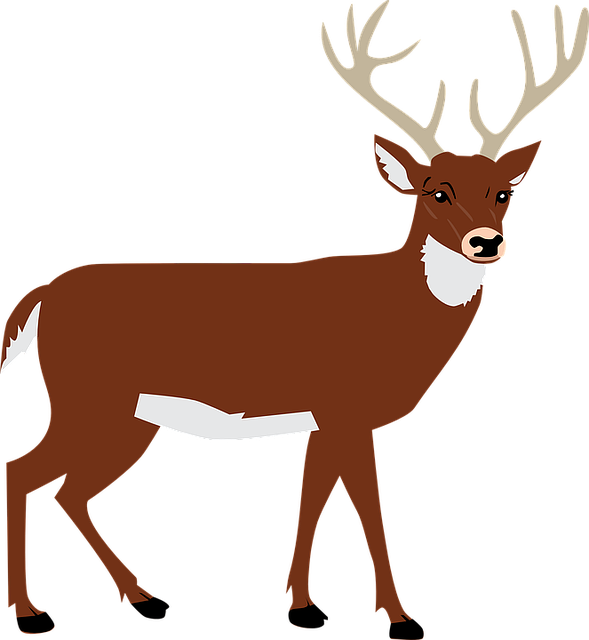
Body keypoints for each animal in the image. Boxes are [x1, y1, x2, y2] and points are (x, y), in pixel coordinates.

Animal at [3, 0, 587, 637]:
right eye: (436, 191)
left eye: (504, 193)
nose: (487, 242)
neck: (395, 314)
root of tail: (40, 299)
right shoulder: (346, 407)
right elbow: (368, 505)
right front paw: (399, 617)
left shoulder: (321, 420)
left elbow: (311, 500)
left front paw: (302, 606)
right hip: (87, 399)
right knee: (22, 471)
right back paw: (31, 613)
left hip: (128, 418)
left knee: (69, 492)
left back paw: (142, 598)